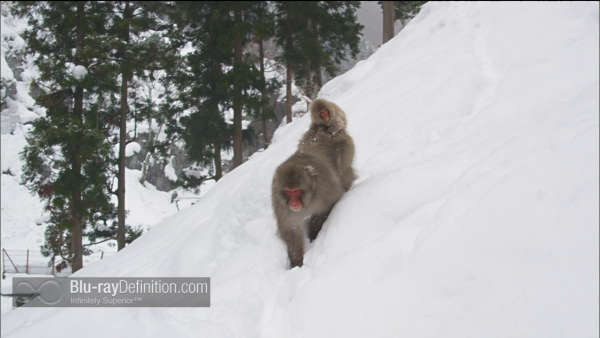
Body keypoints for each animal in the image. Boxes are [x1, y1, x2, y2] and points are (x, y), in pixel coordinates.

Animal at [272, 98, 356, 270]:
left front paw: (313, 231)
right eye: (288, 192)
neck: (309, 198)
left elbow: (327, 207)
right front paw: (296, 262)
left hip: (345, 150)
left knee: (344, 175)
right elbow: (291, 230)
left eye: (296, 191)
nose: (293, 202)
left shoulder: (325, 189)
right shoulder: (280, 202)